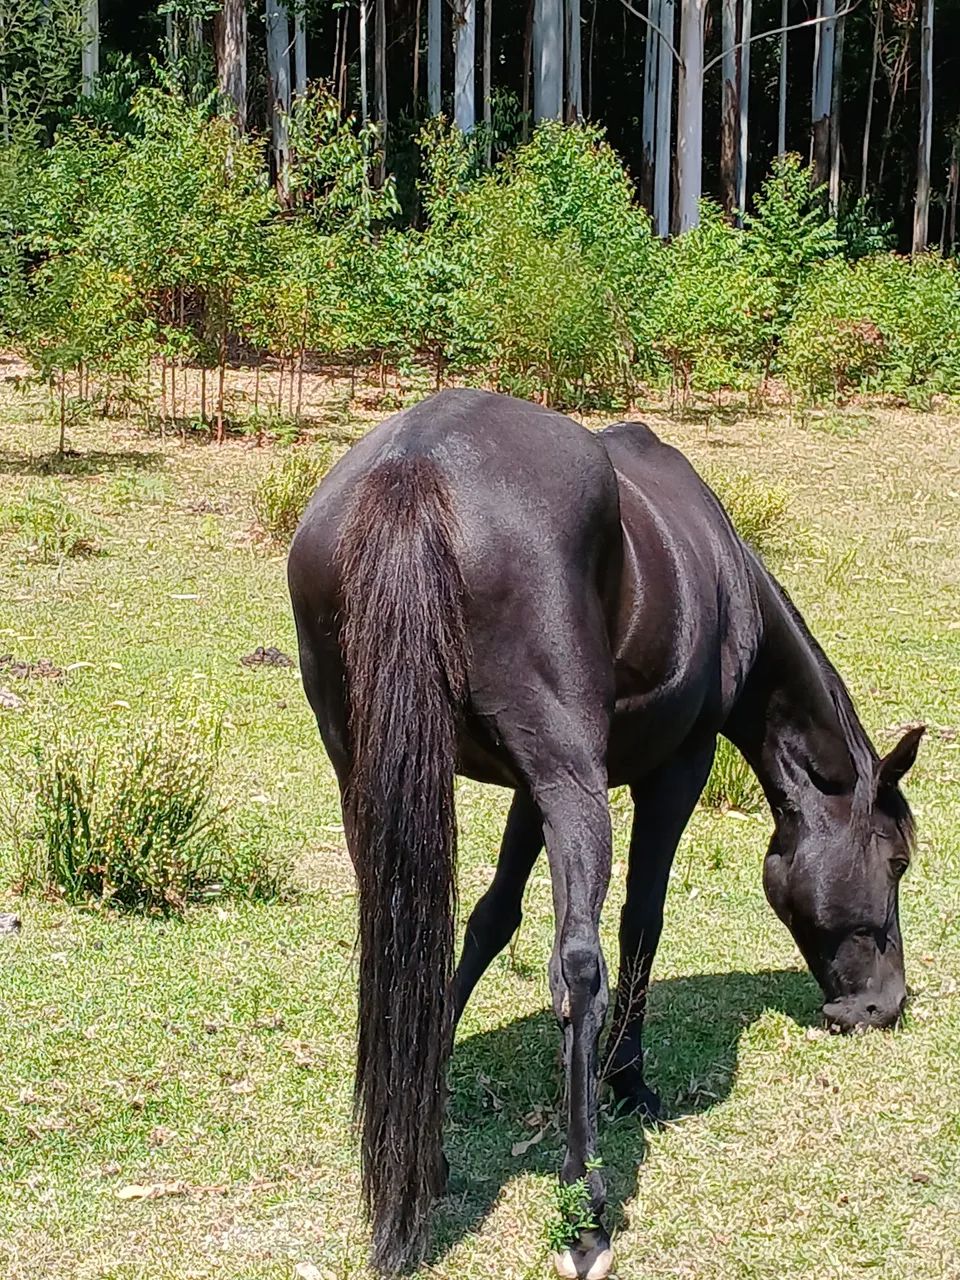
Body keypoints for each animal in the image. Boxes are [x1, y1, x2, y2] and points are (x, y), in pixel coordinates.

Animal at [287, 388, 922, 1280]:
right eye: (895, 861)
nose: (882, 1005)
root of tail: (415, 466)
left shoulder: (530, 791)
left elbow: (489, 920)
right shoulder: (671, 770)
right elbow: (638, 924)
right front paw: (629, 1083)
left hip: (382, 776)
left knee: (399, 934)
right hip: (573, 784)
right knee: (579, 967)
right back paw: (585, 1208)